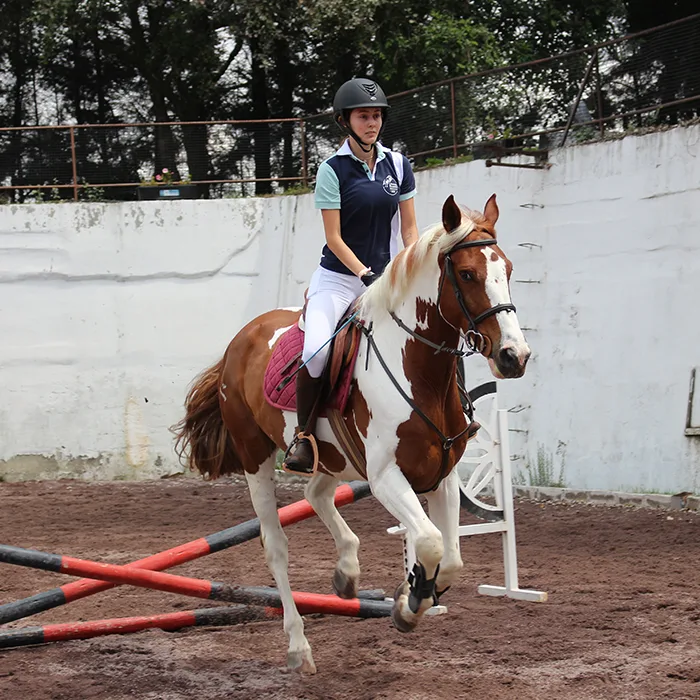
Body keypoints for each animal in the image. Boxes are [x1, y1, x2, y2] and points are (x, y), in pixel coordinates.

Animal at [172, 191, 528, 672]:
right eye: (468, 274)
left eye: (506, 269)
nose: (514, 356)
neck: (419, 368)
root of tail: (240, 339)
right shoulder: (384, 477)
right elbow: (430, 541)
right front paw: (410, 603)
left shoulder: (444, 475)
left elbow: (451, 556)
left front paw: (412, 594)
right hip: (255, 456)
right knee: (276, 545)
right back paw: (299, 647)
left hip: (332, 454)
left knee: (316, 494)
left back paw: (346, 572)